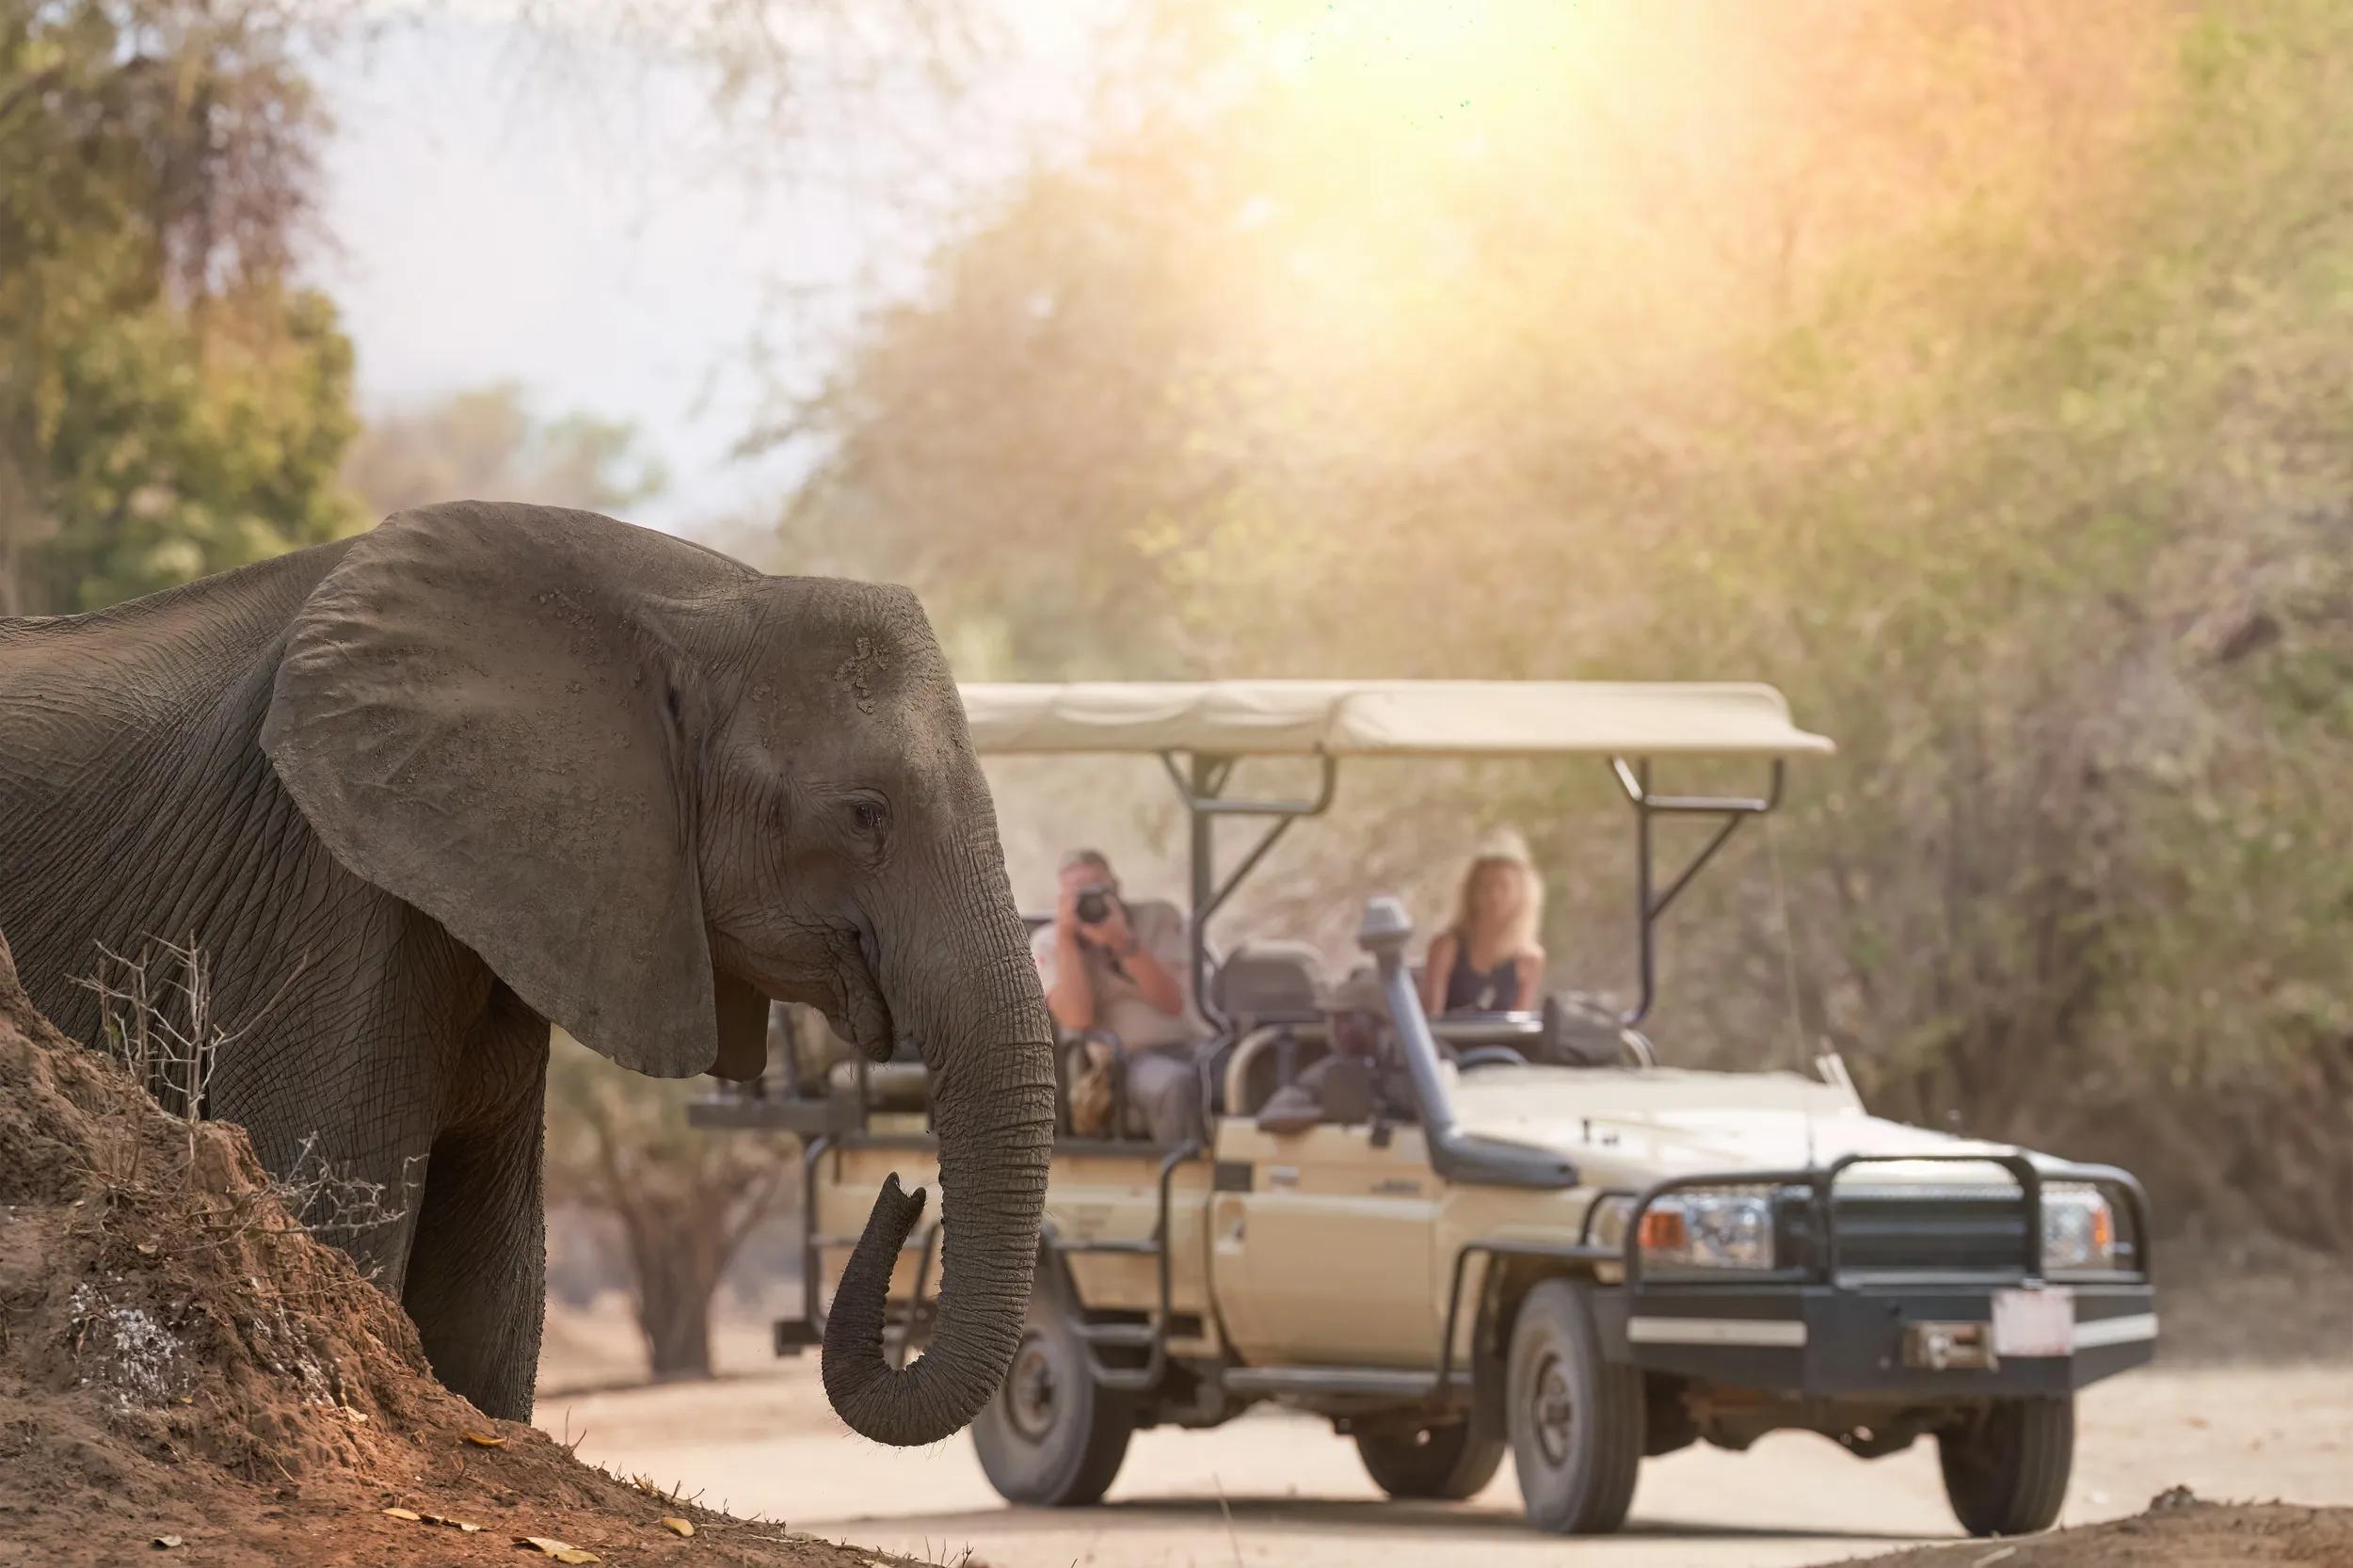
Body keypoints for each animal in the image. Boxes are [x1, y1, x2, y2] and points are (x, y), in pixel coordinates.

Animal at [0, 500, 1055, 1447]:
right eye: (864, 814)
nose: (901, 1189)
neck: (697, 602)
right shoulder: (317, 888)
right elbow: (335, 1228)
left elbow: (490, 1304)